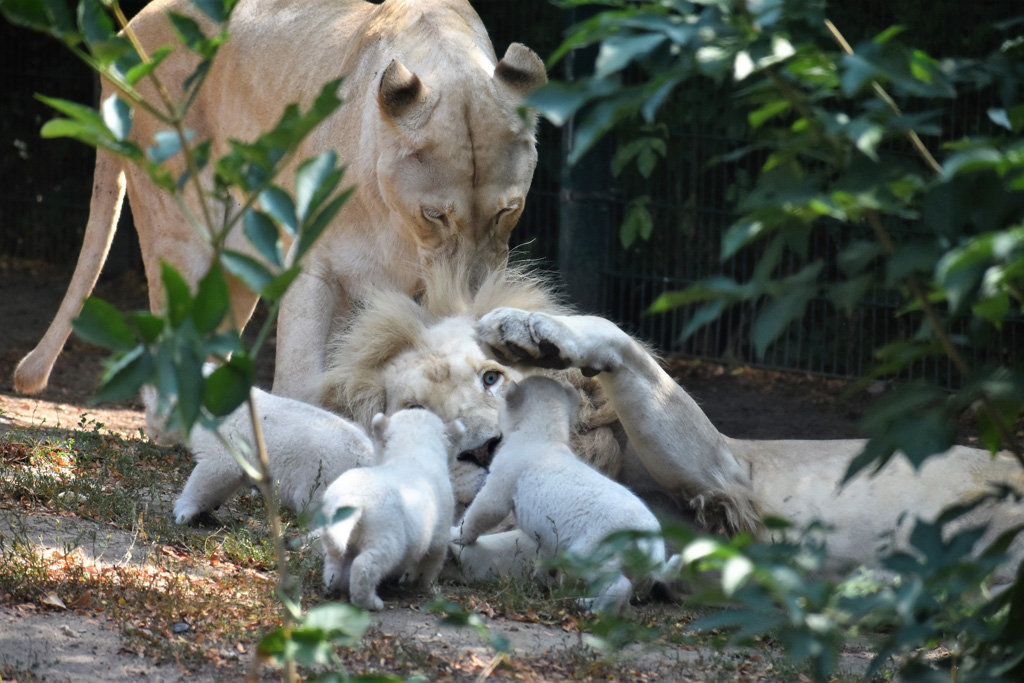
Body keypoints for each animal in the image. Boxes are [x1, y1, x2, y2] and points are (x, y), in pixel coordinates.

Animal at [14, 0, 544, 417]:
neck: (398, 227)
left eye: (507, 211)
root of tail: (132, 25)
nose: (471, 296)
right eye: (436, 215)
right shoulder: (314, 266)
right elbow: (300, 377)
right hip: (176, 226)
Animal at [174, 387, 374, 528]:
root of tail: (368, 457)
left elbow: (214, 472)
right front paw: (205, 511)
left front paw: (181, 511)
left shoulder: (221, 441)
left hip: (323, 481)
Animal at [319, 409, 464, 610]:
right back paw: (372, 602)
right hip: (383, 526)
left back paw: (336, 585)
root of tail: (351, 499)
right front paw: (429, 588)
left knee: (336, 556)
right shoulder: (441, 519)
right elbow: (433, 557)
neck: (413, 450)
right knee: (372, 560)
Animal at [452, 376, 667, 618]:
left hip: (596, 546)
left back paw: (593, 608)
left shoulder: (507, 473)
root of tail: (650, 535)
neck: (543, 436)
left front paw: (456, 533)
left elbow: (486, 508)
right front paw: (541, 574)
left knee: (616, 582)